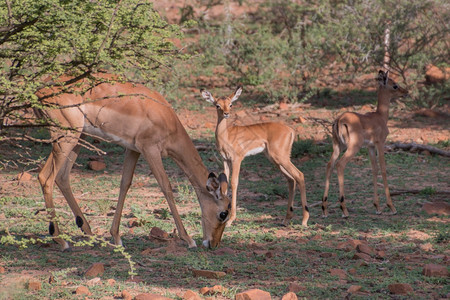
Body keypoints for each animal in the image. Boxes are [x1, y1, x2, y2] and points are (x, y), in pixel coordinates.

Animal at [36, 74, 230, 250]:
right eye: (223, 213)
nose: (213, 244)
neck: (165, 117)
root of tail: (41, 90)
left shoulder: (133, 150)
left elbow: (125, 183)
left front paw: (116, 237)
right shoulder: (150, 150)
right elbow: (166, 186)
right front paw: (188, 239)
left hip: (78, 138)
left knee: (62, 177)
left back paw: (90, 234)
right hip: (66, 137)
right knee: (45, 177)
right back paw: (60, 240)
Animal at [201, 86, 310, 227]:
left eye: (231, 104)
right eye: (217, 105)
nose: (226, 113)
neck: (226, 135)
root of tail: (290, 130)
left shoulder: (237, 159)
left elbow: (234, 182)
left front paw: (231, 219)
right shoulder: (225, 160)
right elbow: (224, 182)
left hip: (281, 158)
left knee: (299, 175)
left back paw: (304, 220)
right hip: (276, 160)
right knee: (291, 179)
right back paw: (286, 219)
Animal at [322, 70, 410, 218]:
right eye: (395, 85)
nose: (406, 92)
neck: (380, 117)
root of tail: (339, 120)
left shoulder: (370, 147)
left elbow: (374, 169)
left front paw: (377, 207)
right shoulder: (380, 144)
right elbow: (383, 169)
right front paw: (391, 206)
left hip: (338, 146)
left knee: (329, 165)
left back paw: (325, 209)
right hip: (352, 147)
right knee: (340, 165)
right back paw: (344, 209)